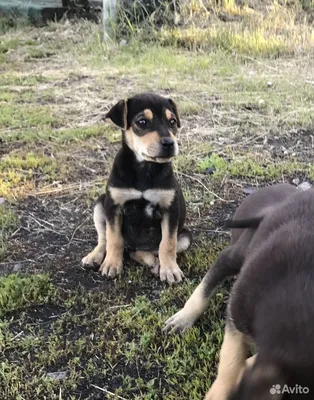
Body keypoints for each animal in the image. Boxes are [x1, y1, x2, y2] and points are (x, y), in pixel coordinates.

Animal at [81, 92, 191, 282]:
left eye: (172, 122)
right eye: (142, 122)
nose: (169, 143)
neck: (145, 169)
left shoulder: (170, 209)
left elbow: (167, 244)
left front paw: (170, 270)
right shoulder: (114, 206)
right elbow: (114, 238)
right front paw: (111, 264)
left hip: (185, 237)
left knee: (144, 251)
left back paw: (154, 263)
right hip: (101, 204)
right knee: (104, 239)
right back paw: (94, 257)